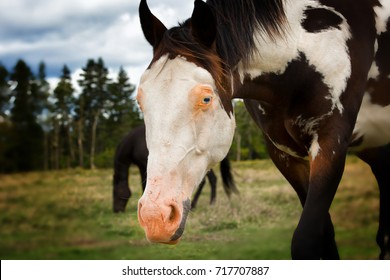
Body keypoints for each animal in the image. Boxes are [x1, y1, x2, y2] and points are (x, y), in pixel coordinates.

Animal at [135, 0, 390, 260]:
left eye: (206, 99)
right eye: (140, 101)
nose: (155, 216)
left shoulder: (330, 143)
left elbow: (307, 239)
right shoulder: (284, 155)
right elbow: (325, 236)